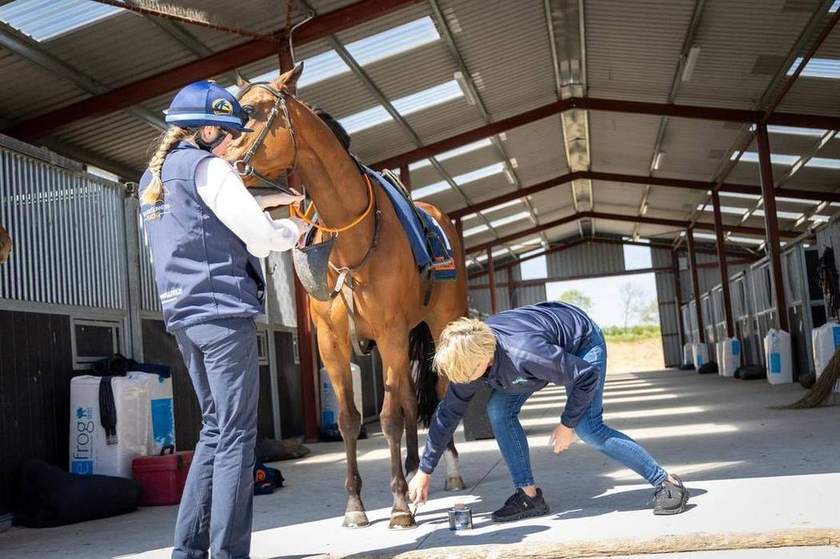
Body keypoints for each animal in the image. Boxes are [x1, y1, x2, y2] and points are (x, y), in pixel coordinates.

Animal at [224, 64, 468, 529]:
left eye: (251, 111)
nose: (219, 166)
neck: (349, 238)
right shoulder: (331, 341)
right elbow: (350, 420)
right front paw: (355, 505)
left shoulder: (390, 332)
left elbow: (388, 419)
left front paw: (398, 506)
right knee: (410, 399)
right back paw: (413, 467)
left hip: (441, 324)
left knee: (440, 393)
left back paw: (447, 472)